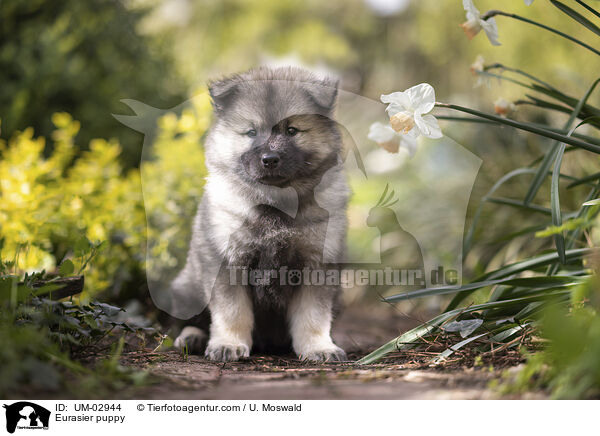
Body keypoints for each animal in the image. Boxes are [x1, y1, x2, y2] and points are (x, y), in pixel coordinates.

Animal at [171, 67, 346, 362]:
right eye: (252, 132)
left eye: (291, 130)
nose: (270, 159)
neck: (275, 204)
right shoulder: (227, 262)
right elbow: (232, 311)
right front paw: (228, 344)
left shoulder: (317, 264)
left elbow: (313, 315)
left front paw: (319, 347)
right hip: (186, 288)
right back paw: (192, 338)